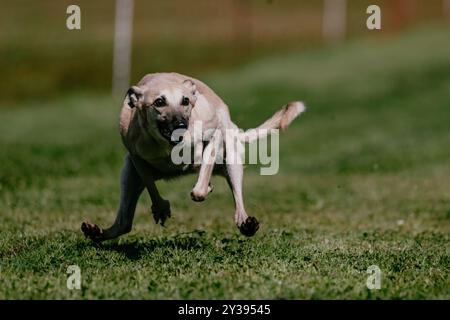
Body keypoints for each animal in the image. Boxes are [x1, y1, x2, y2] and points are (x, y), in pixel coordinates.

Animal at [81, 72, 306, 241]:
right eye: (159, 102)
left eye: (185, 101)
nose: (181, 125)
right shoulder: (135, 155)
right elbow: (151, 185)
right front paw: (161, 208)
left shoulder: (213, 135)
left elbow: (199, 185)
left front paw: (203, 188)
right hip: (129, 174)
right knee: (124, 222)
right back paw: (97, 232)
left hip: (231, 159)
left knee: (235, 198)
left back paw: (246, 223)